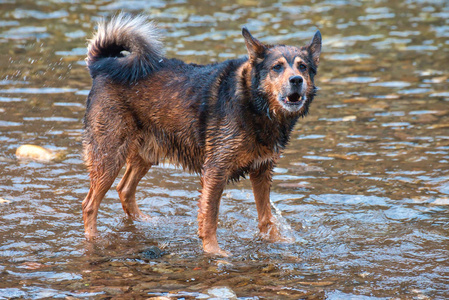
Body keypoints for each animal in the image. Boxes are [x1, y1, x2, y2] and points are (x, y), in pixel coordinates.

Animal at [83, 12, 322, 255]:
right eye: (277, 67)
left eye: (303, 67)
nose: (296, 80)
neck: (253, 102)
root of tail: (102, 65)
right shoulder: (216, 170)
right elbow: (210, 217)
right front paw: (214, 251)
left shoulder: (262, 170)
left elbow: (266, 216)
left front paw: (275, 241)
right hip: (109, 154)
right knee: (90, 204)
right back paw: (94, 239)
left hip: (147, 152)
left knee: (124, 189)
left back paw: (145, 221)